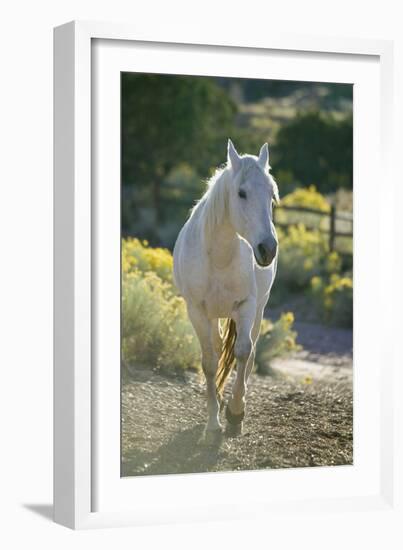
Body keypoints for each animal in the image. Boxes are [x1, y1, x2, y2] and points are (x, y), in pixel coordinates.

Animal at [174, 139, 280, 444]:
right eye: (241, 193)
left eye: (272, 195)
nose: (267, 249)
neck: (219, 257)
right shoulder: (197, 311)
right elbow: (210, 362)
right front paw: (213, 424)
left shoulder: (246, 306)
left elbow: (243, 352)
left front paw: (234, 415)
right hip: (213, 316)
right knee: (219, 346)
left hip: (258, 309)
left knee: (250, 351)